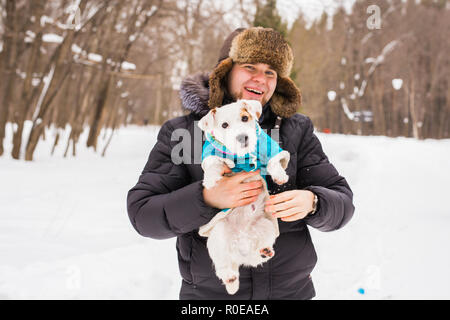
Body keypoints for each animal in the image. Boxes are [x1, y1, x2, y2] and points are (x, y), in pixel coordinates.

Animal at [198, 100, 290, 296]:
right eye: (224, 125)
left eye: (245, 118)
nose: (243, 137)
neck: (242, 155)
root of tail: (240, 247)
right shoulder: (210, 152)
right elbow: (213, 162)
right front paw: (210, 179)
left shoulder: (267, 145)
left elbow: (274, 160)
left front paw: (279, 175)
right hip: (218, 236)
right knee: (222, 265)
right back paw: (230, 277)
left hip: (266, 225)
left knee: (256, 257)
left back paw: (265, 251)